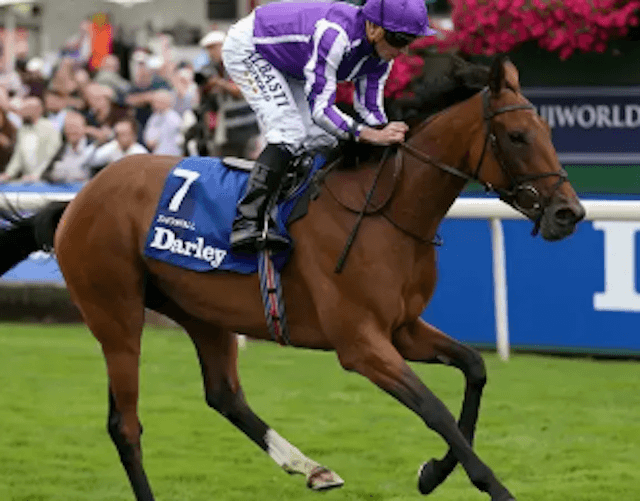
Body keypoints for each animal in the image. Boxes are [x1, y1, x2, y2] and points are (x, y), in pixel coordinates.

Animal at [0, 56, 584, 498]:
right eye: (516, 135)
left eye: (548, 132)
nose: (568, 213)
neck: (385, 210)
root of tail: (78, 199)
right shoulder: (361, 344)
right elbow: (434, 408)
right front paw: (488, 485)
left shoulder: (401, 328)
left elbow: (474, 368)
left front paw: (433, 473)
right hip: (115, 313)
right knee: (125, 424)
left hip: (201, 310)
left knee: (224, 394)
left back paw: (312, 468)